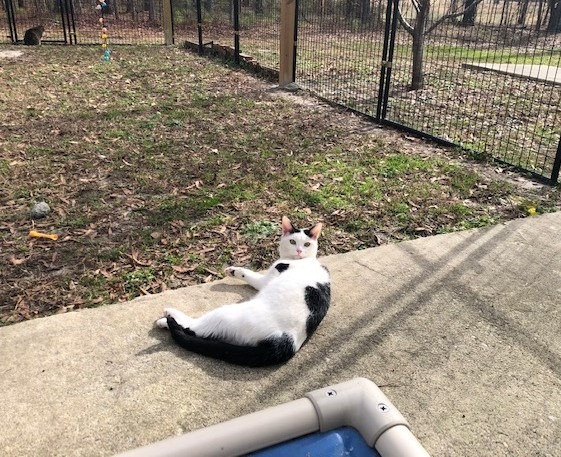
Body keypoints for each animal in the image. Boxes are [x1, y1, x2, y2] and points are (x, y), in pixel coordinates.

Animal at [155, 216, 330, 366]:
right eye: (292, 241)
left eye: (306, 244)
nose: (299, 251)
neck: (304, 261)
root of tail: (289, 341)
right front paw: (233, 271)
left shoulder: (267, 278)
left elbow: (252, 275)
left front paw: (235, 271)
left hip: (224, 314)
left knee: (195, 329)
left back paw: (168, 318)